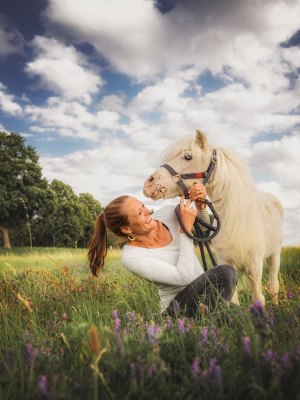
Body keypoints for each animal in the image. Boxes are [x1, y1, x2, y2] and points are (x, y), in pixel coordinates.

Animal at [143, 130, 284, 304]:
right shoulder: (225, 261)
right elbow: (233, 301)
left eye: (188, 156)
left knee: (273, 285)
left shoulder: (255, 264)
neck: (234, 217)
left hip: (274, 255)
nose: (148, 184)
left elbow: (259, 298)